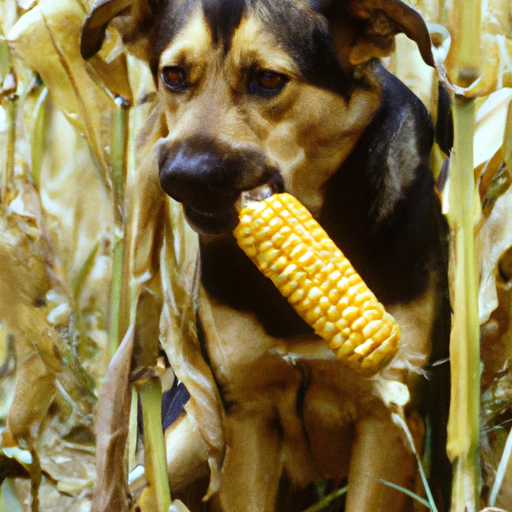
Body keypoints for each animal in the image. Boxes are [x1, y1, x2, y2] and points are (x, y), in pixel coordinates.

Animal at [82, 2, 450, 510]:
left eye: (269, 79)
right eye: (173, 76)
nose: (184, 176)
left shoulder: (388, 415)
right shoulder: (244, 412)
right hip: (186, 435)